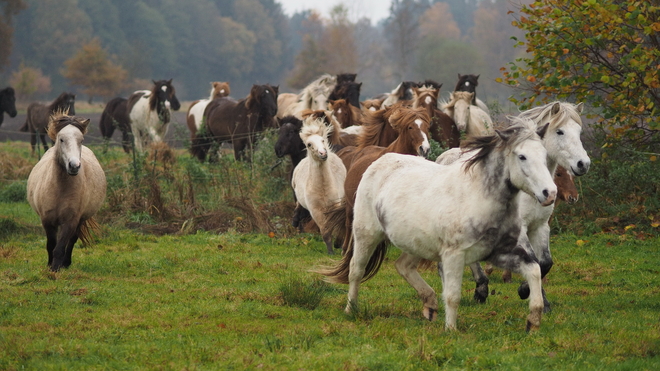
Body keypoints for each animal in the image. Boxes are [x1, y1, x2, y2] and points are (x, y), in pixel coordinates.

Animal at [26, 113, 107, 274]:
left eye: (81, 140)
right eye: (61, 139)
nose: (74, 166)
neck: (60, 189)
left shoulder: (70, 221)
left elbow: (60, 247)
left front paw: (56, 269)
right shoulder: (47, 220)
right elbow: (51, 245)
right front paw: (50, 266)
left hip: (80, 220)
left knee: (72, 240)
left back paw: (66, 263)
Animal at [292, 116, 348, 256]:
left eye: (322, 140)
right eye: (309, 144)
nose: (323, 153)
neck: (323, 188)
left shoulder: (335, 205)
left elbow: (337, 224)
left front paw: (338, 243)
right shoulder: (316, 211)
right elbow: (325, 230)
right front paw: (331, 251)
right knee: (298, 204)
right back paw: (295, 220)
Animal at [316, 118, 556, 332]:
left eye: (544, 156)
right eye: (522, 156)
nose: (550, 193)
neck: (478, 196)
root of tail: (378, 162)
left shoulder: (500, 253)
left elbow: (534, 269)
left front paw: (533, 320)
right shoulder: (454, 256)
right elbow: (452, 295)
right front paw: (451, 330)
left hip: (415, 243)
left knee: (403, 266)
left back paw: (430, 305)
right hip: (366, 235)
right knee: (356, 270)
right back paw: (351, 309)